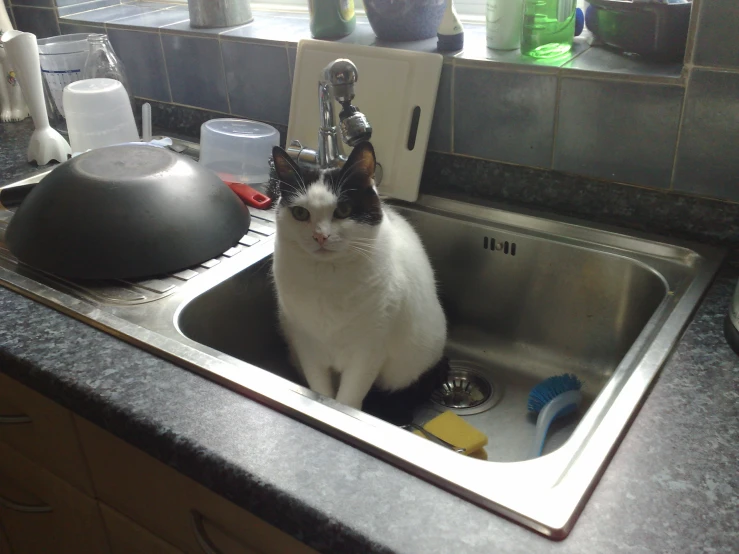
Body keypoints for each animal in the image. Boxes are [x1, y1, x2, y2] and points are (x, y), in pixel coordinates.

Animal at [270, 141, 448, 410]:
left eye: (343, 210)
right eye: (300, 213)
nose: (320, 236)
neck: (327, 279)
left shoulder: (368, 353)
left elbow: (348, 399)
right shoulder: (307, 346)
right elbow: (321, 390)